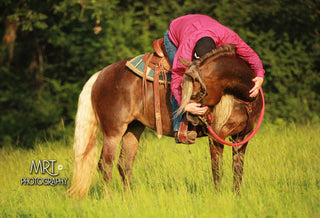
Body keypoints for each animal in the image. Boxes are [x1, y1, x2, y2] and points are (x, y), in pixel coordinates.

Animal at [67, 43, 262, 198]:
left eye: (197, 91)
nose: (191, 115)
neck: (241, 97)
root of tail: (101, 74)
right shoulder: (217, 136)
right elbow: (218, 168)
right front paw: (218, 198)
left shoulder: (242, 138)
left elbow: (238, 169)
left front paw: (237, 197)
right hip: (113, 132)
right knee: (105, 165)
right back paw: (109, 201)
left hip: (133, 129)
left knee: (124, 164)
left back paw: (129, 199)